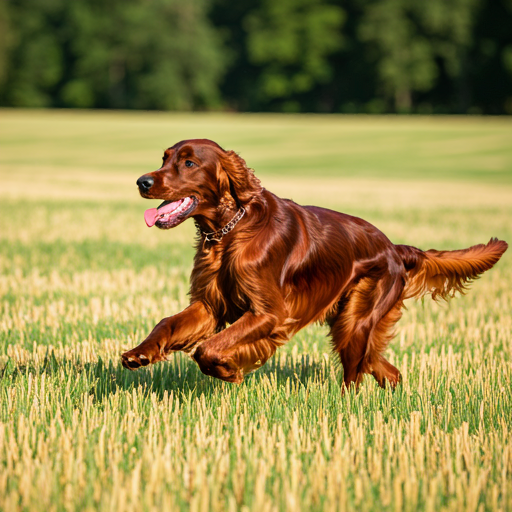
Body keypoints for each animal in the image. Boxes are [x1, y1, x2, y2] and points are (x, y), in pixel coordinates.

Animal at [121, 140, 508, 388]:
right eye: (164, 158)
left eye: (189, 163)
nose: (142, 181)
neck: (231, 231)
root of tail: (394, 248)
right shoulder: (209, 305)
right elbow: (167, 324)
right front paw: (139, 354)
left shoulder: (269, 313)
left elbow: (208, 348)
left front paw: (230, 370)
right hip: (352, 324)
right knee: (384, 368)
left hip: (356, 321)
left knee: (355, 377)